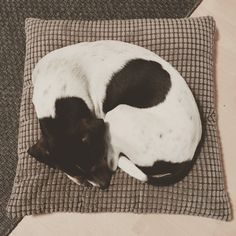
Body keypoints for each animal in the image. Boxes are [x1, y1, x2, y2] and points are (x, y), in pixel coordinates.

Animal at [27, 40, 201, 188]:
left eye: (97, 158)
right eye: (78, 173)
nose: (103, 186)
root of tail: (188, 158)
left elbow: (110, 160)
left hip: (117, 114)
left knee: (114, 159)